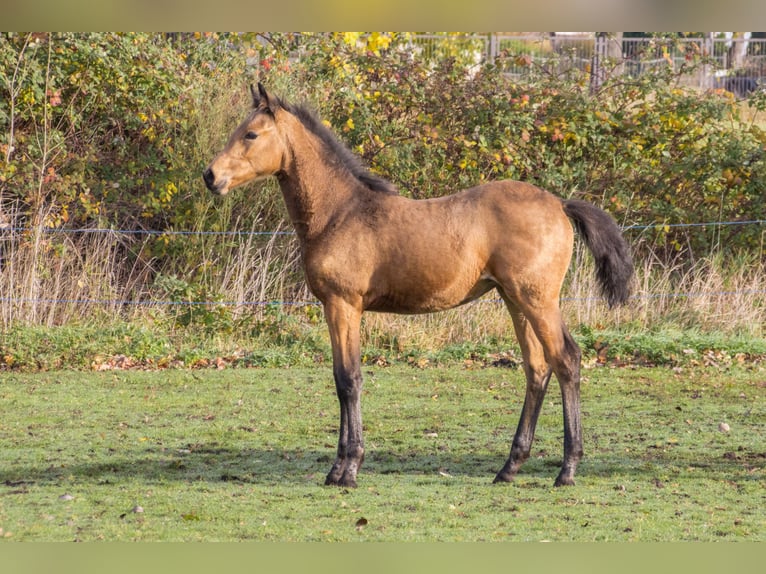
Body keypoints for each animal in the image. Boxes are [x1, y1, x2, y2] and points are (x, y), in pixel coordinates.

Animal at [203, 83, 634, 488]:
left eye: (251, 134)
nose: (211, 176)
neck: (339, 213)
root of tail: (560, 204)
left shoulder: (343, 304)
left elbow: (349, 380)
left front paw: (348, 469)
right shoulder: (339, 307)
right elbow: (342, 378)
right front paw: (338, 469)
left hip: (537, 299)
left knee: (566, 361)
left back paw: (567, 469)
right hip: (515, 300)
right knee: (537, 368)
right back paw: (509, 468)